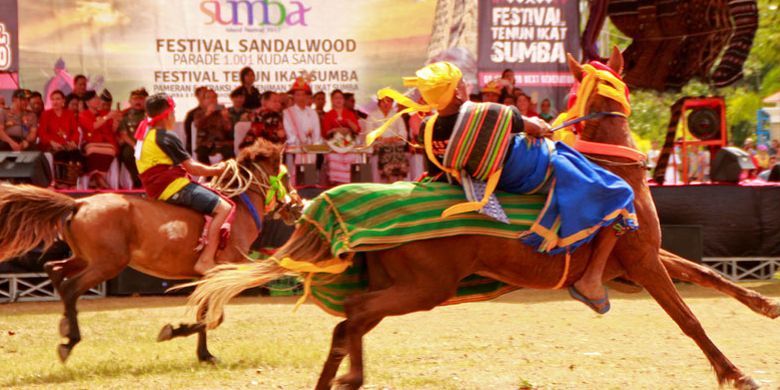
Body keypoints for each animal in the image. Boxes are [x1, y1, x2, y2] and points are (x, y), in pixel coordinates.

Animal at [0, 139, 304, 362]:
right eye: (286, 176)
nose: (298, 205)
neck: (238, 210)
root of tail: (79, 204)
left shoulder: (208, 279)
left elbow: (205, 315)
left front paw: (204, 354)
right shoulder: (219, 274)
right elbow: (212, 317)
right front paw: (174, 332)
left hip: (85, 258)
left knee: (55, 271)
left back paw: (64, 324)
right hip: (106, 264)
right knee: (71, 287)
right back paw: (70, 339)